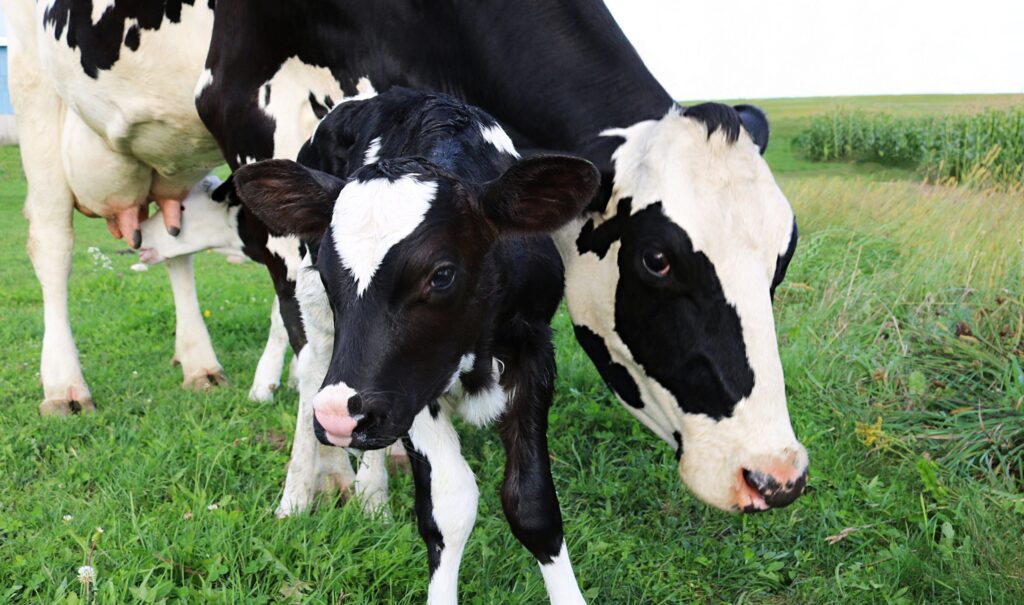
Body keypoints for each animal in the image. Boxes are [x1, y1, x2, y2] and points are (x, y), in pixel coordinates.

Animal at [229, 88, 600, 604]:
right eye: (328, 270)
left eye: (441, 275)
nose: (338, 418)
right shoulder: (411, 384)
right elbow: (450, 506)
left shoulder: (534, 347)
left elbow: (533, 505)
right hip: (317, 321)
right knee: (309, 380)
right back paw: (298, 497)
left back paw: (371, 497)